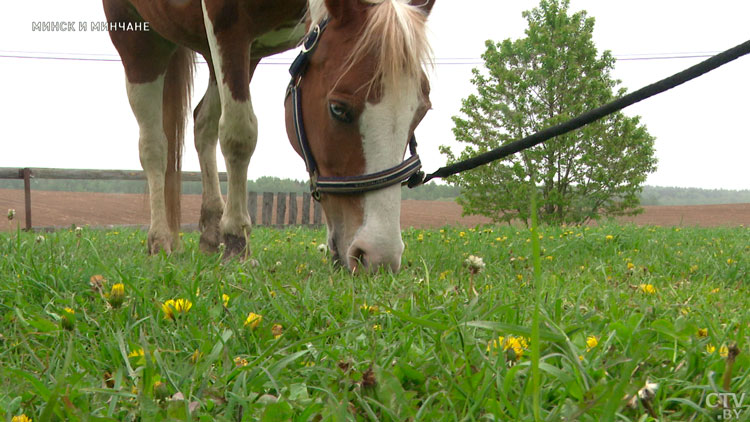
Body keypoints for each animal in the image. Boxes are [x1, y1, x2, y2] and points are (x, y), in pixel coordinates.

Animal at [103, 0, 438, 272]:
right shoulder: (228, 26)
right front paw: (237, 241)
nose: (380, 256)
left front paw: (227, 235)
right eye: (338, 109)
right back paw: (160, 240)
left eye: (421, 111)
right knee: (154, 146)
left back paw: (211, 232)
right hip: (137, 39)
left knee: (203, 125)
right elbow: (239, 134)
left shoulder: (246, 46)